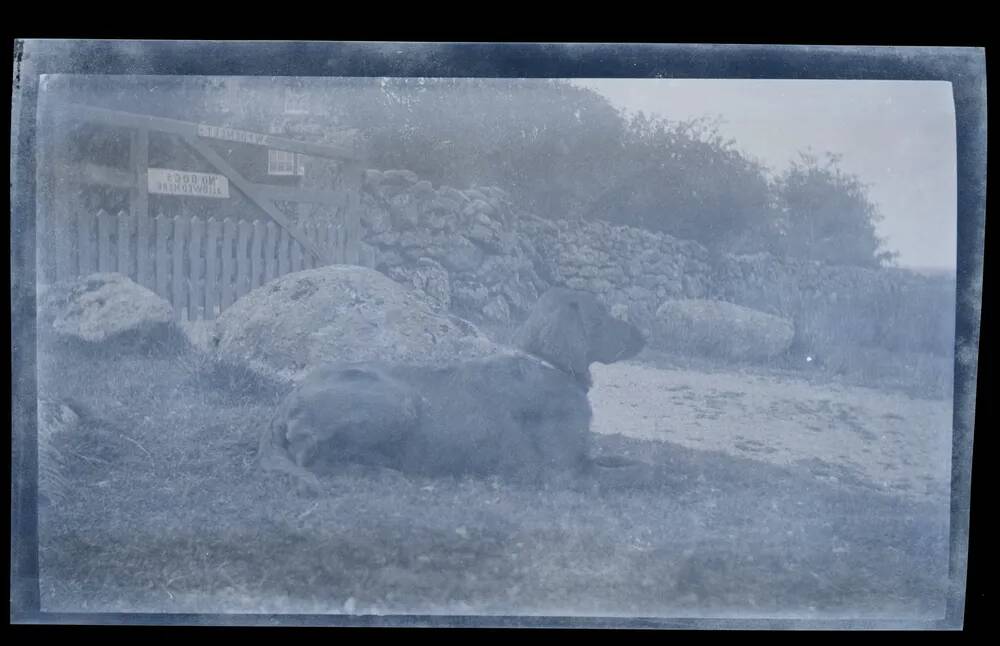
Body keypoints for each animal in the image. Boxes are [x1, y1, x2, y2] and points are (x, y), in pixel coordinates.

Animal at [258, 286, 648, 494]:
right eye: (601, 316)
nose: (644, 335)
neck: (549, 364)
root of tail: (284, 403)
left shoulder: (583, 458)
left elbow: (634, 460)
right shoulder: (564, 473)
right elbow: (641, 472)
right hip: (401, 402)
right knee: (316, 461)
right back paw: (383, 474)